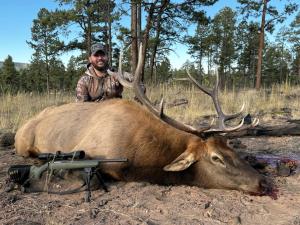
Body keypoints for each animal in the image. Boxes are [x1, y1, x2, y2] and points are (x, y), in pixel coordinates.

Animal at [14, 45, 268, 193]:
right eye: (217, 158)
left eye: (232, 149)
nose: (263, 182)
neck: (143, 160)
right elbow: (91, 179)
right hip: (24, 143)